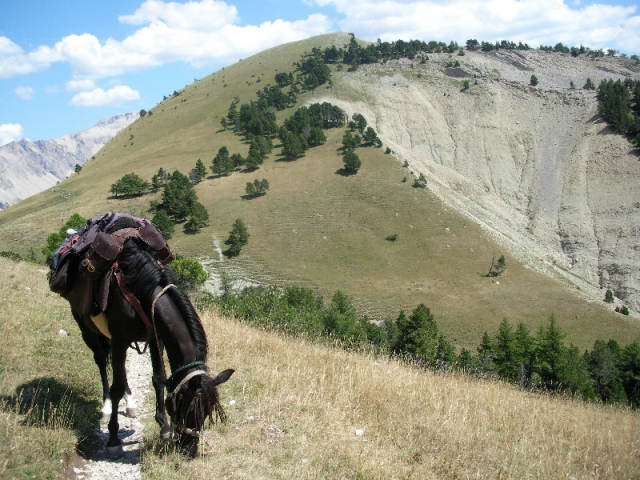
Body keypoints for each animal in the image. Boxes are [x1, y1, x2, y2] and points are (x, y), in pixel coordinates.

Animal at [60, 220, 233, 457]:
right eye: (187, 408)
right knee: (102, 363)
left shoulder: (154, 339)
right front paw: (113, 438)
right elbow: (115, 388)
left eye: (206, 413)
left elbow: (158, 379)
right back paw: (106, 407)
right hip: (87, 327)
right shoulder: (120, 340)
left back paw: (130, 403)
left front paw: (164, 428)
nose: (189, 449)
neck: (142, 290)